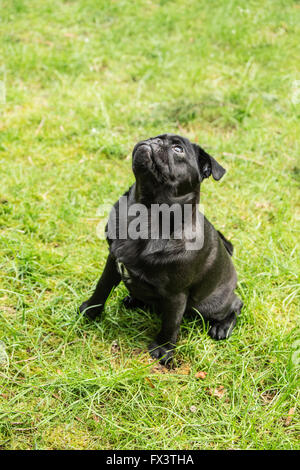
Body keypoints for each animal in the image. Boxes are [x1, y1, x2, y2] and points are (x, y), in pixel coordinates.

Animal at [79, 134, 241, 366]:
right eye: (155, 137)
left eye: (178, 149)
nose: (155, 141)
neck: (146, 212)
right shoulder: (112, 262)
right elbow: (102, 288)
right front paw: (90, 311)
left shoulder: (176, 294)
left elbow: (171, 324)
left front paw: (163, 350)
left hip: (209, 305)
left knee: (236, 305)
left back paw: (221, 327)